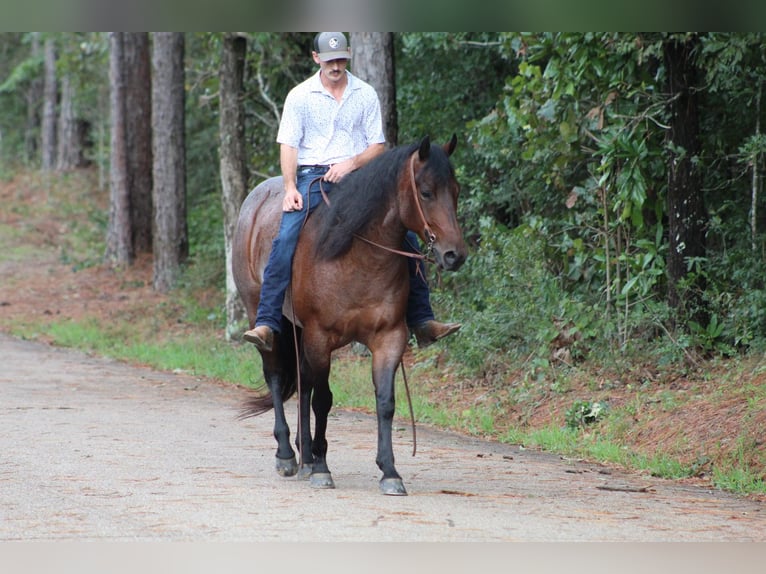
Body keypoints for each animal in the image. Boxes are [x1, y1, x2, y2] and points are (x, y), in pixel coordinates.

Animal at [231, 135, 468, 496]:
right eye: (426, 192)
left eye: (455, 191)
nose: (455, 255)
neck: (357, 254)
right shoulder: (320, 337)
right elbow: (323, 401)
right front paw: (322, 469)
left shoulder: (389, 338)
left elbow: (385, 401)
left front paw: (390, 472)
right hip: (262, 316)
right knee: (276, 376)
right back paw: (288, 455)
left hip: (300, 332)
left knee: (302, 382)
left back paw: (305, 455)